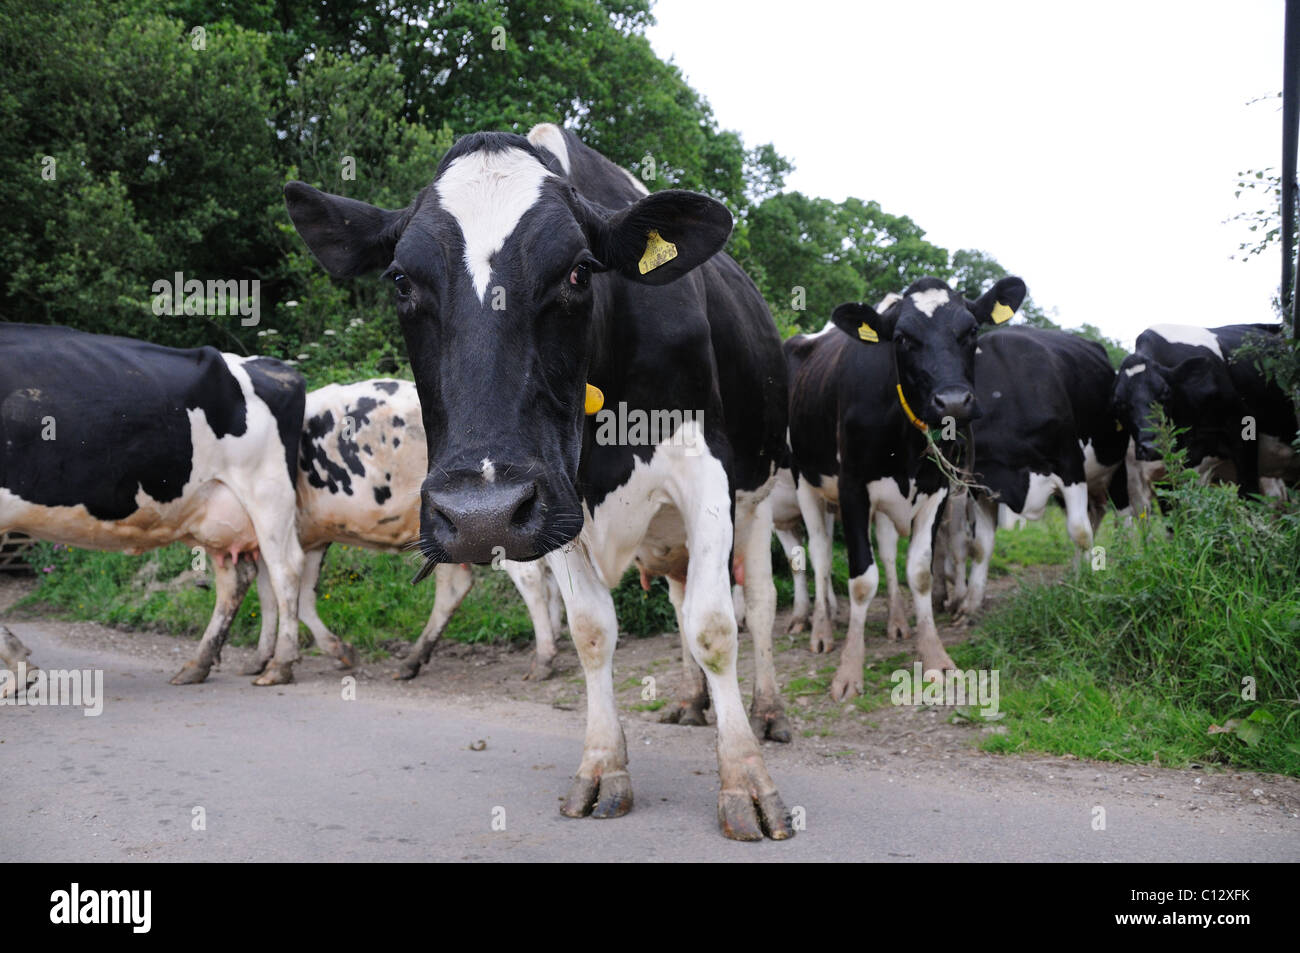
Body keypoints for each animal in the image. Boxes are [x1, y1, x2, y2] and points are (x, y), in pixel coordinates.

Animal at [0, 323, 306, 681]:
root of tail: (273, 368)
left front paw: (19, 667)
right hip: (218, 513)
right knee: (237, 578)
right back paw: (198, 665)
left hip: (269, 494)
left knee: (285, 569)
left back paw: (279, 665)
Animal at [170, 377, 561, 686]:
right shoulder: (305, 537)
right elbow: (282, 597)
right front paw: (261, 657)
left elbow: (288, 596)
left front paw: (316, 654)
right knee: (467, 584)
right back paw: (413, 661)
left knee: (530, 577)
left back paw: (543, 659)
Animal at [284, 122, 790, 837]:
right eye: (401, 280)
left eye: (579, 269)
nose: (481, 512)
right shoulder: (556, 502)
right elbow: (592, 631)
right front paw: (604, 767)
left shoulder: (702, 467)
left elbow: (717, 626)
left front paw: (744, 779)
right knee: (678, 596)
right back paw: (693, 704)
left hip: (760, 494)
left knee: (760, 604)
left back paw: (769, 713)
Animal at [780, 275, 1024, 696]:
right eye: (902, 338)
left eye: (971, 330)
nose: (953, 402)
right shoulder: (852, 488)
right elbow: (862, 580)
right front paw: (849, 670)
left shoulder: (937, 489)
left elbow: (919, 572)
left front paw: (935, 657)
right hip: (805, 483)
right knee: (821, 555)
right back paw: (822, 629)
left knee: (888, 551)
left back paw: (896, 621)